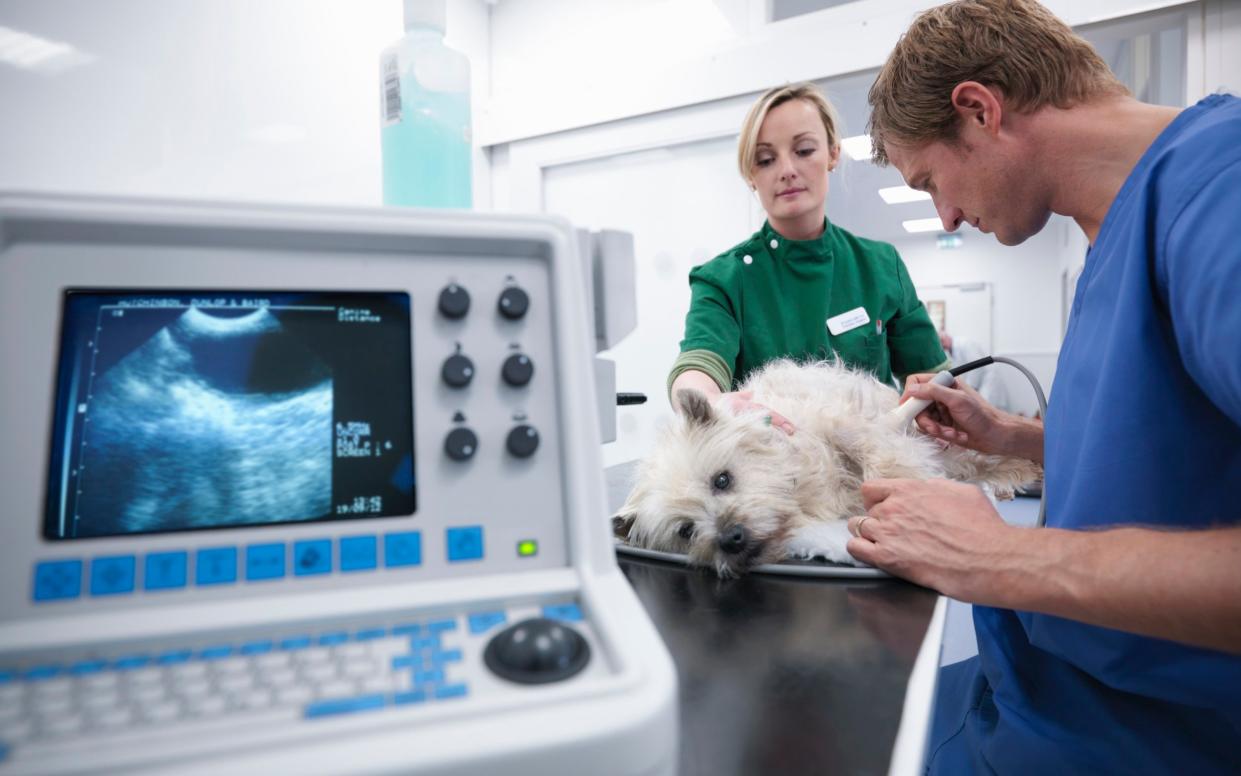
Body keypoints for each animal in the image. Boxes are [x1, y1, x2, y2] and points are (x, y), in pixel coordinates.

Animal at [615, 357, 1042, 576]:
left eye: (722, 479)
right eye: (686, 531)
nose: (731, 539)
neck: (799, 490)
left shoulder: (845, 423)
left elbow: (877, 453)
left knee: (973, 457)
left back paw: (1020, 471)